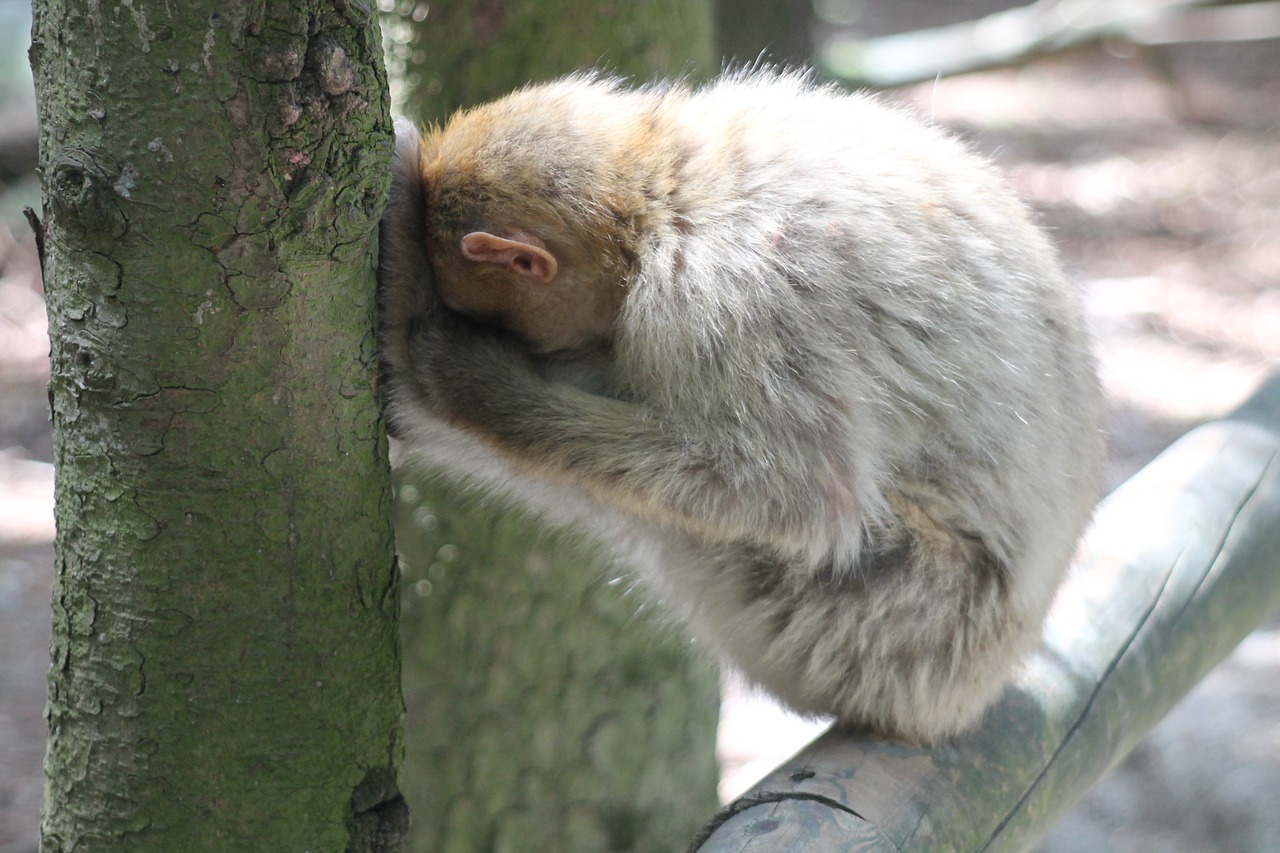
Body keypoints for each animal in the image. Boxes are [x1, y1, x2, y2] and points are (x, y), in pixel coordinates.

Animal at [373, 69, 1105, 742]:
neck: (658, 186)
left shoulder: (724, 297)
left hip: (895, 632)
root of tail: (974, 691)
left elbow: (791, 493)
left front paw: (464, 374)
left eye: (483, 309)